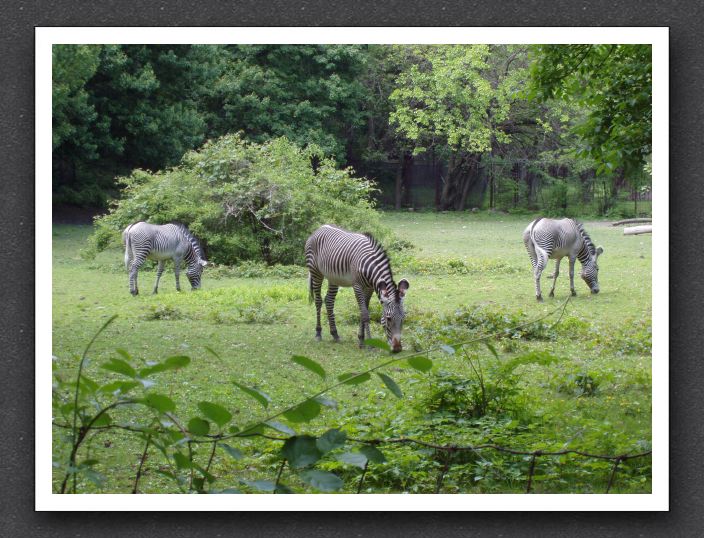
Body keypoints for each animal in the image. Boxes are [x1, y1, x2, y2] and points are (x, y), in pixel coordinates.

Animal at [306, 223, 410, 352]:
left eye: (403, 318)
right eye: (389, 318)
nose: (397, 349)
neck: (370, 266)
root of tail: (319, 228)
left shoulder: (369, 288)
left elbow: (363, 310)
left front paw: (361, 339)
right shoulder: (357, 286)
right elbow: (365, 314)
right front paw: (369, 344)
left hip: (333, 277)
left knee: (329, 301)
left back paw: (335, 334)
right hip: (316, 272)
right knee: (319, 301)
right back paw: (318, 333)